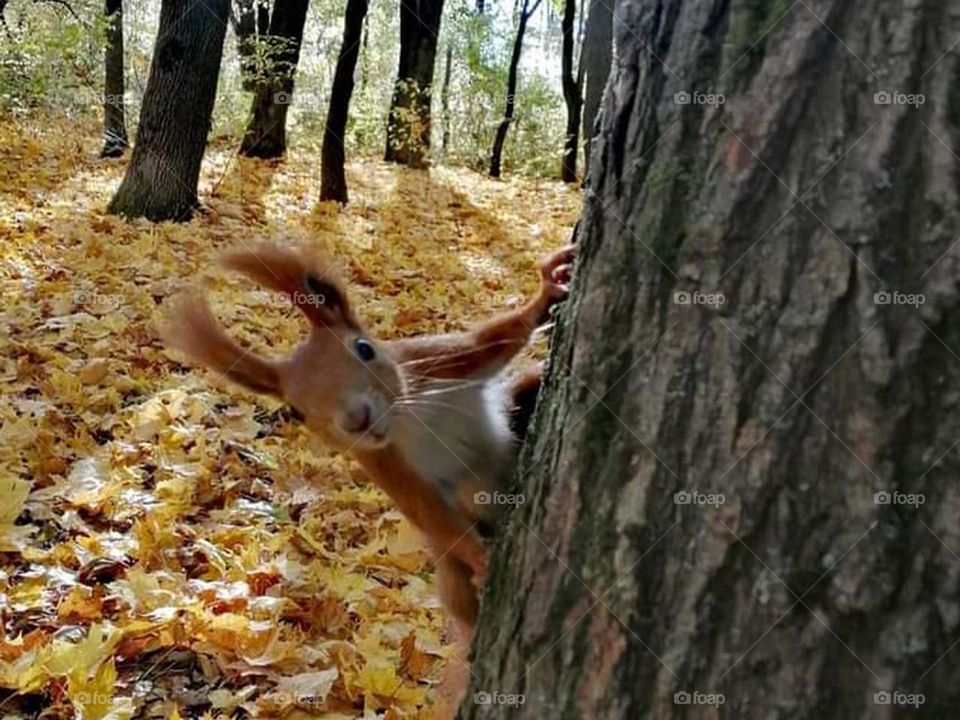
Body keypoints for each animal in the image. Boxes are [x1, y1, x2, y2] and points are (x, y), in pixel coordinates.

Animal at [160, 242, 575, 633]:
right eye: (297, 411)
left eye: (364, 348)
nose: (356, 419)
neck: (408, 420)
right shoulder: (385, 465)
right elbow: (429, 512)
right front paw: (481, 559)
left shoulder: (438, 360)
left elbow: (495, 337)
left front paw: (547, 288)